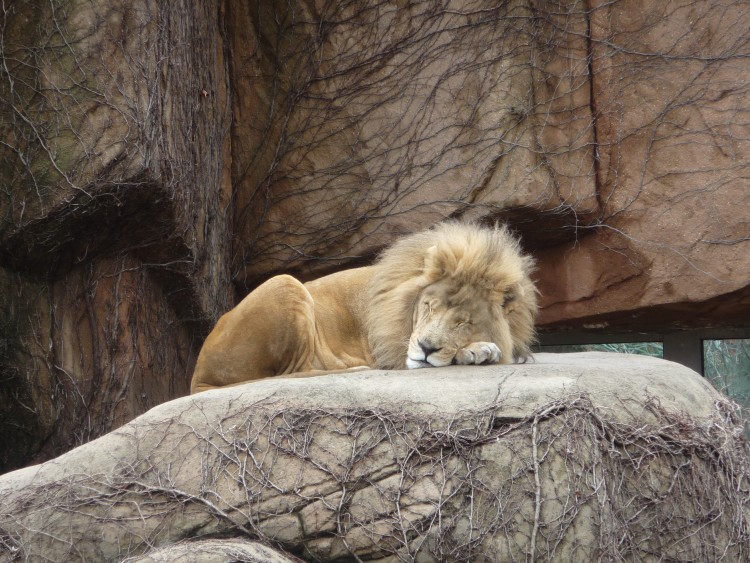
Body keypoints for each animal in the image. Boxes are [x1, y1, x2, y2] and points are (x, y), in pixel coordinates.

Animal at [191, 223, 536, 394]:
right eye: (428, 306)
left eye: (464, 322)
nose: (426, 348)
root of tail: (199, 374)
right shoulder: (394, 350)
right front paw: (478, 350)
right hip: (285, 283)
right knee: (295, 372)